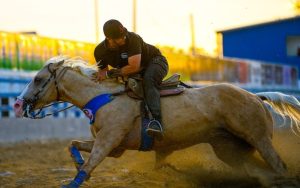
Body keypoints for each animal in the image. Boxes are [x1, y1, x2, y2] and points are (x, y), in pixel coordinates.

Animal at [12, 55, 300, 187]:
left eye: (38, 79)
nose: (18, 103)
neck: (104, 96)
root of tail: (257, 97)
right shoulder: (115, 147)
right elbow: (73, 145)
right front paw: (77, 162)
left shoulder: (108, 141)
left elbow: (90, 164)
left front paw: (76, 178)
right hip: (231, 149)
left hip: (259, 139)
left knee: (279, 165)